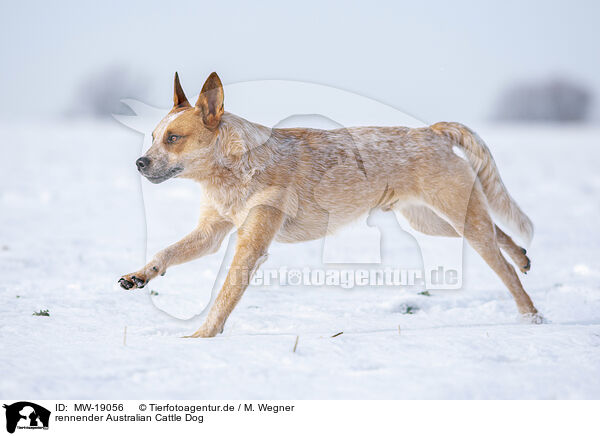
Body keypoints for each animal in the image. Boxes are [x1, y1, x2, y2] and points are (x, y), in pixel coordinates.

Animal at [117, 71, 540, 338]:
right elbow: (166, 252)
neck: (232, 170)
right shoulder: (211, 232)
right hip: (431, 221)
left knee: (504, 269)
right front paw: (140, 275)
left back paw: (531, 315)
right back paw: (521, 255)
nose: (139, 162)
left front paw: (201, 337)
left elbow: (225, 295)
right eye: (152, 136)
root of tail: (431, 131)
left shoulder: (252, 243)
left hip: (456, 215)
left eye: (173, 138)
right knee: (499, 233)